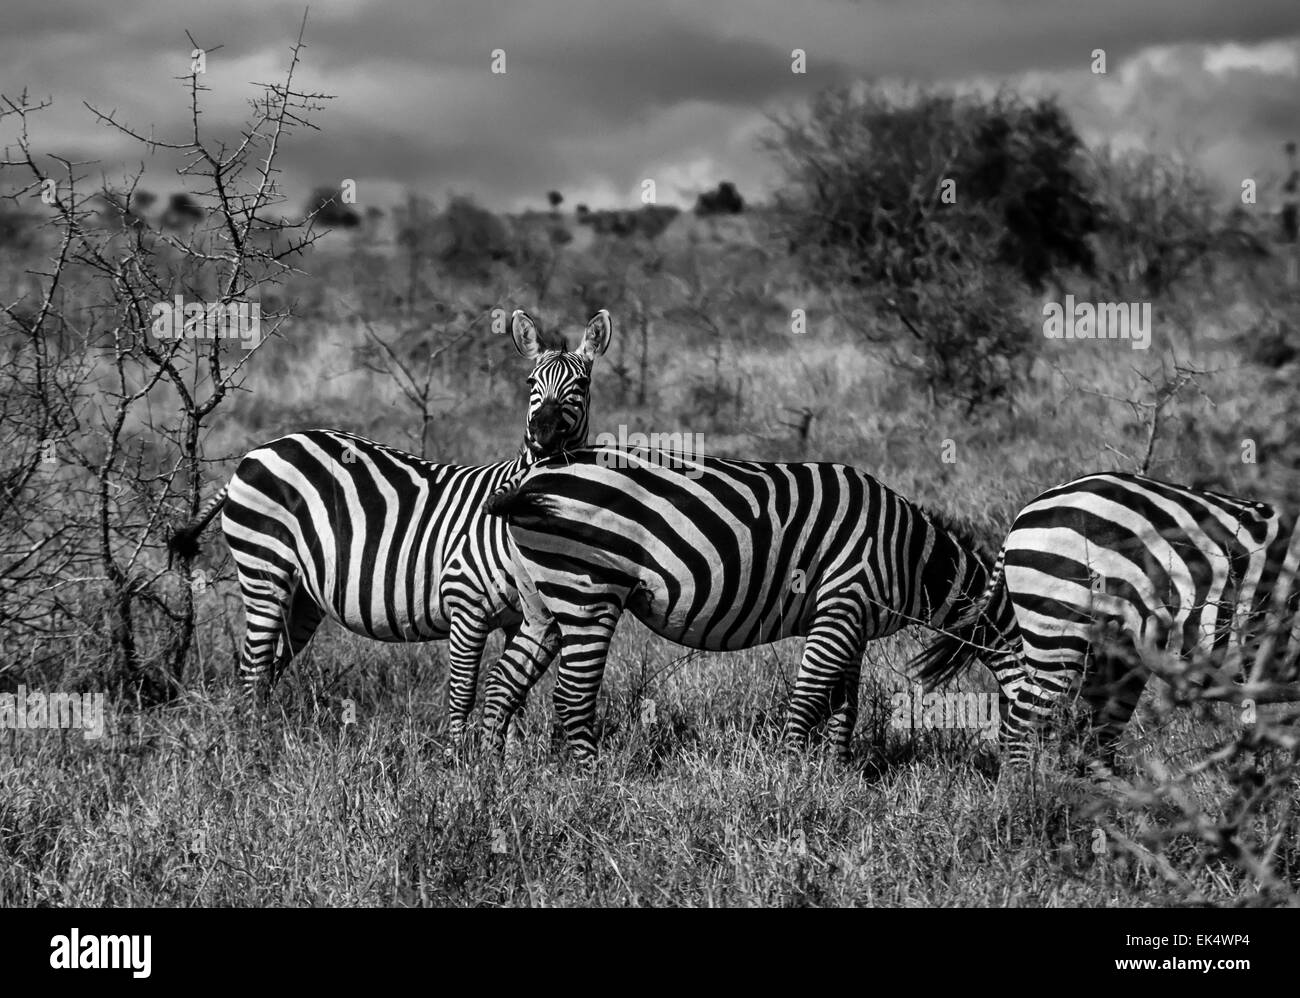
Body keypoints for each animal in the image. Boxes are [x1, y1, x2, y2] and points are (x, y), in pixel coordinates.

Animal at [168, 309, 612, 735]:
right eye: (531, 381)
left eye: (582, 384)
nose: (542, 434)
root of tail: (259, 451)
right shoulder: (466, 603)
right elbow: (463, 695)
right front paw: (460, 758)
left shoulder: (525, 618)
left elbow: (512, 696)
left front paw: (511, 755)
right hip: (264, 568)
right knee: (253, 668)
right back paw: (251, 740)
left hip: (303, 593)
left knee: (271, 666)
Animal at [479, 444, 1015, 764]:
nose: (1021, 778)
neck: (910, 553)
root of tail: (533, 477)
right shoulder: (843, 601)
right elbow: (811, 695)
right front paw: (794, 776)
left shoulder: (852, 621)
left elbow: (845, 704)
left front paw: (838, 773)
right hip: (588, 589)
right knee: (571, 693)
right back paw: (591, 778)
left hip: (542, 600)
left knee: (503, 682)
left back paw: (491, 770)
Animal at [915, 471, 1300, 770]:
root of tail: (1030, 507)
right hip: (1059, 632)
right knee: (1022, 728)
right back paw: (1025, 807)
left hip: (1114, 650)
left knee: (1096, 741)